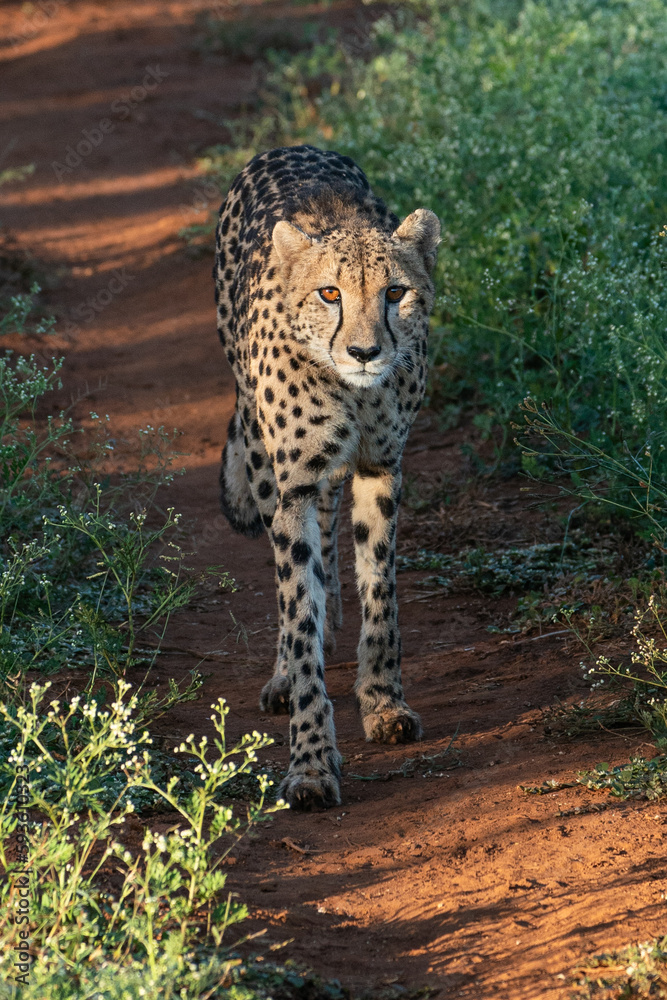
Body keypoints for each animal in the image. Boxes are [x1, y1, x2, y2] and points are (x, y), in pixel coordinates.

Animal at [214, 145, 440, 810]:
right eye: (329, 293)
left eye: (396, 292)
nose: (365, 352)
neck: (352, 391)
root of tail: (287, 147)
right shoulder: (294, 485)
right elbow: (299, 606)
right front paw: (312, 760)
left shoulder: (379, 466)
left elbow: (380, 592)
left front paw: (384, 703)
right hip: (262, 460)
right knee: (293, 574)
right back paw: (286, 669)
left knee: (333, 528)